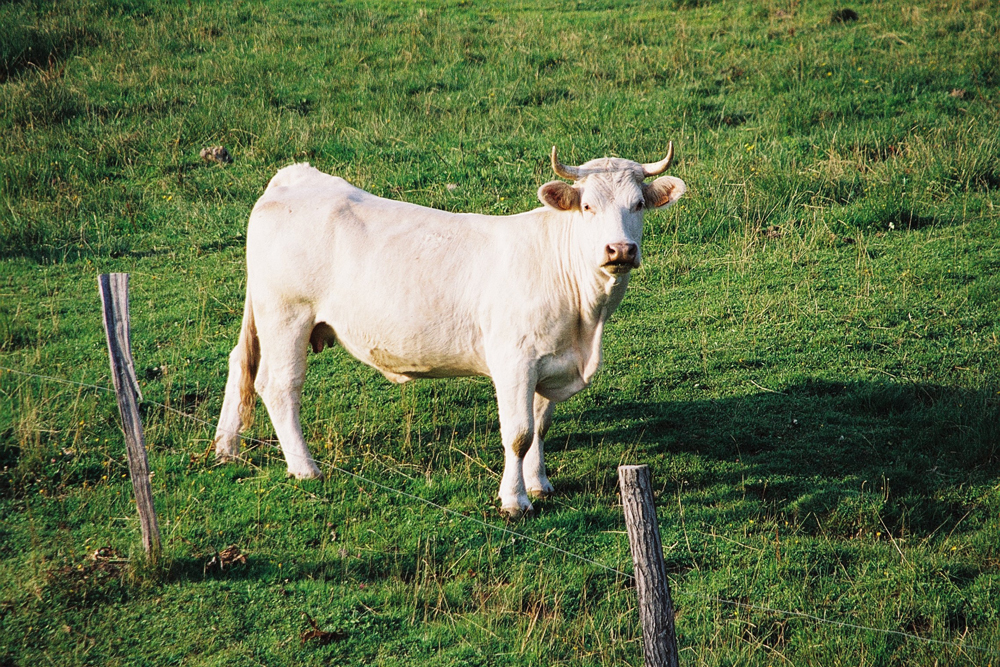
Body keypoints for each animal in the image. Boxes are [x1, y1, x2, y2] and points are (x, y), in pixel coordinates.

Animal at [214, 147, 684, 516]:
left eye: (638, 204)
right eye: (588, 207)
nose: (620, 250)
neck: (586, 324)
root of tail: (295, 176)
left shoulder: (550, 361)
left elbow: (540, 425)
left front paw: (539, 485)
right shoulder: (513, 360)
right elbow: (518, 434)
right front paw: (514, 501)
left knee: (239, 363)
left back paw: (226, 447)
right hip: (286, 315)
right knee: (279, 386)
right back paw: (305, 468)